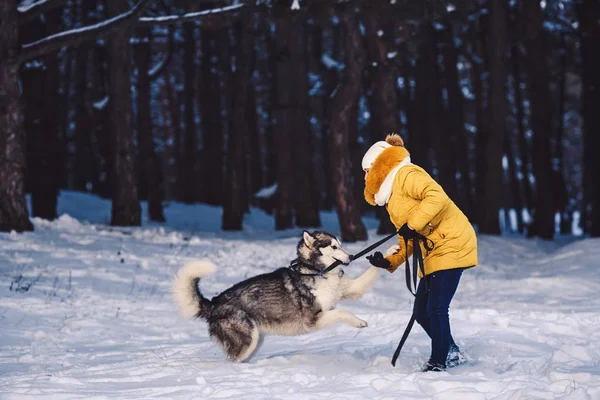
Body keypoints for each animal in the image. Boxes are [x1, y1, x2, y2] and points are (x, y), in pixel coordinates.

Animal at [172, 228, 380, 362]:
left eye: (341, 245)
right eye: (334, 247)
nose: (351, 256)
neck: (316, 272)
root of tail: (214, 303)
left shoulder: (352, 289)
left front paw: (386, 253)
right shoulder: (313, 319)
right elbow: (342, 312)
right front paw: (359, 322)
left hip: (256, 340)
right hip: (248, 339)